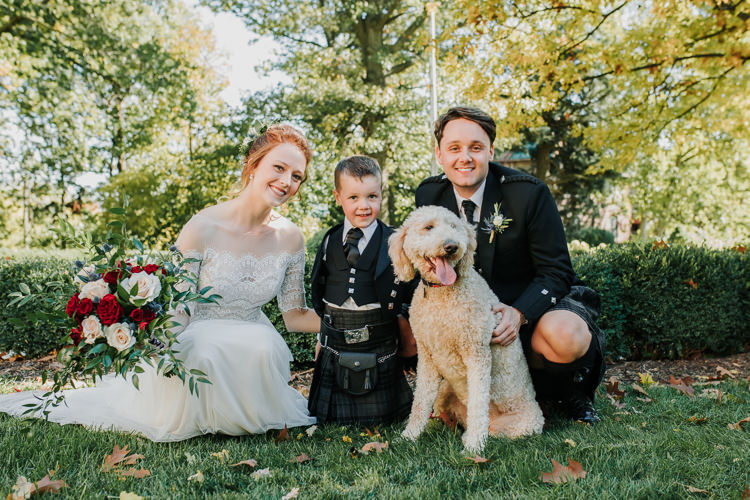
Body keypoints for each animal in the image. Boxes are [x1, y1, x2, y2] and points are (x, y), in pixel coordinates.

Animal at [390, 205, 544, 452]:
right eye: (428, 227)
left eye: (454, 226)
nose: (451, 246)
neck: (442, 294)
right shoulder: (427, 357)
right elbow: (420, 401)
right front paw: (409, 436)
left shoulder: (477, 353)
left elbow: (479, 402)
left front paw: (473, 447)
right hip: (444, 391)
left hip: (521, 426)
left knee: (485, 423)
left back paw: (474, 437)